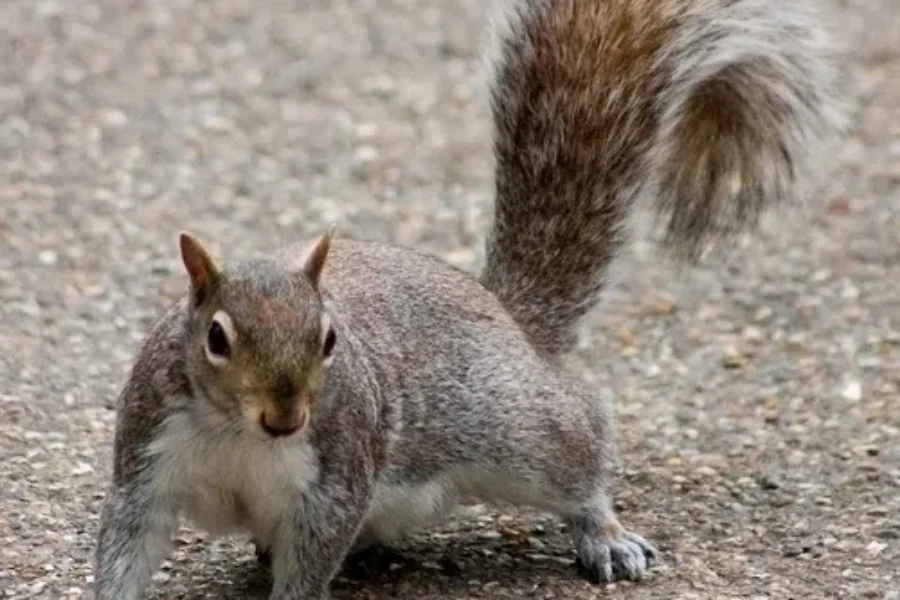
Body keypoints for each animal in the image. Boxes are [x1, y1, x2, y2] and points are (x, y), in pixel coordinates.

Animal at [94, 0, 838, 598]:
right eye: (217, 338)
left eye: (329, 339)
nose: (286, 418)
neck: (236, 434)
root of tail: (510, 319)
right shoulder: (148, 464)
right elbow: (127, 545)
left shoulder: (334, 484)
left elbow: (311, 562)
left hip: (520, 432)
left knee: (580, 452)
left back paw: (603, 534)